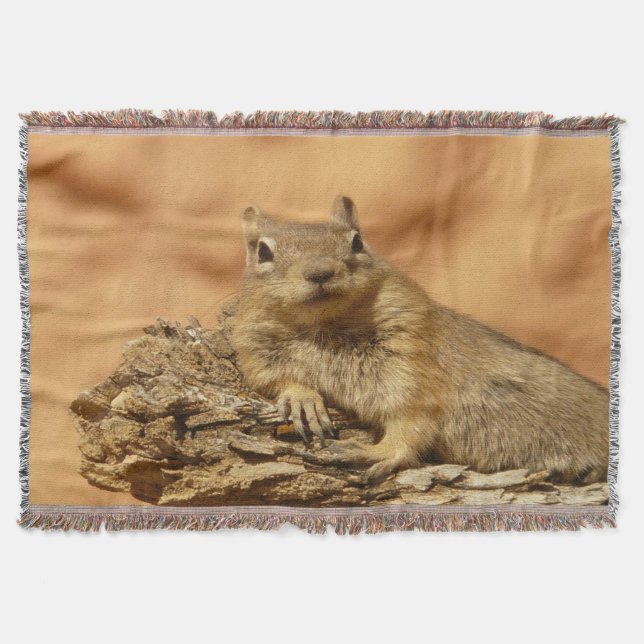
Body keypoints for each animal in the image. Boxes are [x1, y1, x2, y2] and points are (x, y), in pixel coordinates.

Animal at [231, 195, 609, 485]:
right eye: (262, 252)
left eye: (357, 242)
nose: (320, 272)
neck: (323, 327)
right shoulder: (256, 350)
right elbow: (275, 378)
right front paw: (302, 398)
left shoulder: (412, 366)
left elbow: (411, 422)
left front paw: (374, 451)